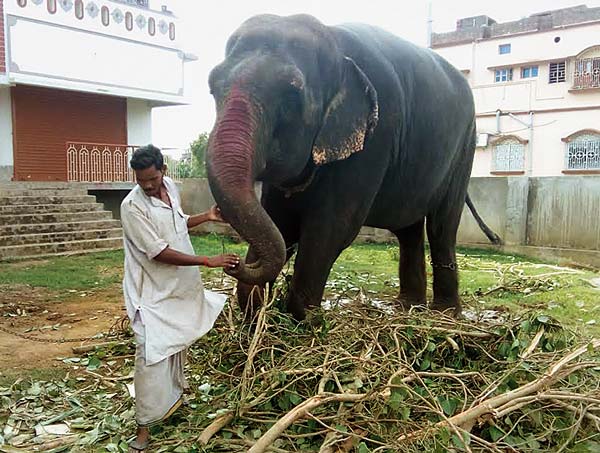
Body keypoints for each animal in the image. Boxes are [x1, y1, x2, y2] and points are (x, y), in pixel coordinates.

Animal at [206, 13, 502, 318]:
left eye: (291, 97)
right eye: (212, 88)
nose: (234, 263)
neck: (335, 45)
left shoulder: (375, 138)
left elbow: (331, 229)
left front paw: (305, 320)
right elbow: (278, 220)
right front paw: (257, 314)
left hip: (464, 148)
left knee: (442, 226)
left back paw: (445, 314)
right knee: (408, 229)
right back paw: (409, 308)